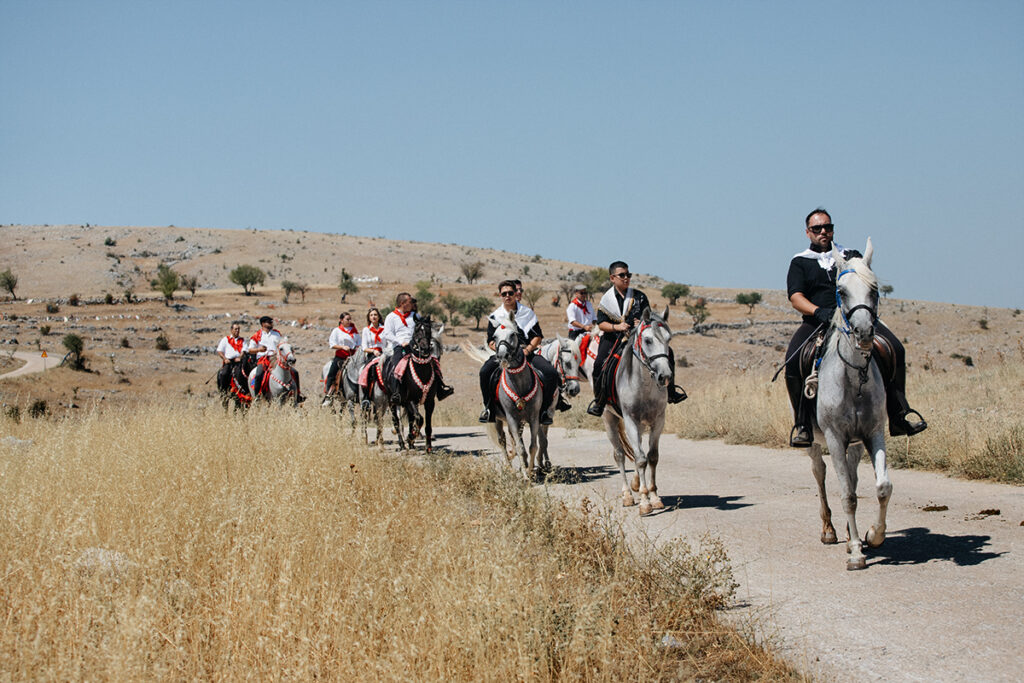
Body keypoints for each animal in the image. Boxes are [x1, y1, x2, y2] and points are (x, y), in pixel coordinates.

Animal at [602, 307, 675, 516]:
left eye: (669, 339)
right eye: (648, 340)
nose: (665, 376)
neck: (644, 386)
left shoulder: (658, 421)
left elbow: (652, 457)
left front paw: (655, 497)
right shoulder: (630, 421)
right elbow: (641, 459)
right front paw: (644, 501)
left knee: (636, 452)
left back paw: (635, 484)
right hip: (609, 419)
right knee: (620, 455)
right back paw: (627, 494)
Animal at [802, 240, 892, 573]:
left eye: (875, 289)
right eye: (841, 291)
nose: (864, 332)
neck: (855, 378)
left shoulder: (874, 432)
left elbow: (881, 487)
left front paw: (873, 535)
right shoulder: (834, 437)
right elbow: (848, 496)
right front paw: (855, 551)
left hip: (854, 444)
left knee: (852, 476)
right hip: (816, 442)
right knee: (821, 474)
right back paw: (829, 530)